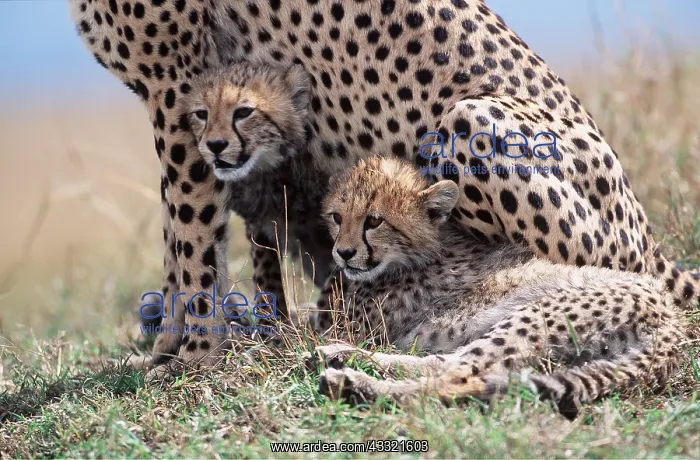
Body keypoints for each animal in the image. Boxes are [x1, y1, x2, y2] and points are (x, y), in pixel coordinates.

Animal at [68, 0, 698, 370]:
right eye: (213, 115)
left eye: (243, 113)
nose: (222, 142)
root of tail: (649, 238)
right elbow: (183, 242)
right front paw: (170, 347)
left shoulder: (175, 85)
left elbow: (192, 238)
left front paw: (192, 357)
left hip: (472, 120)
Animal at [313, 157, 688, 418]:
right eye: (336, 217)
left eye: (374, 220)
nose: (343, 253)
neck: (426, 249)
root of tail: (672, 317)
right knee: (445, 363)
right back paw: (339, 356)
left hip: (534, 316)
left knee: (459, 375)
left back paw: (352, 385)